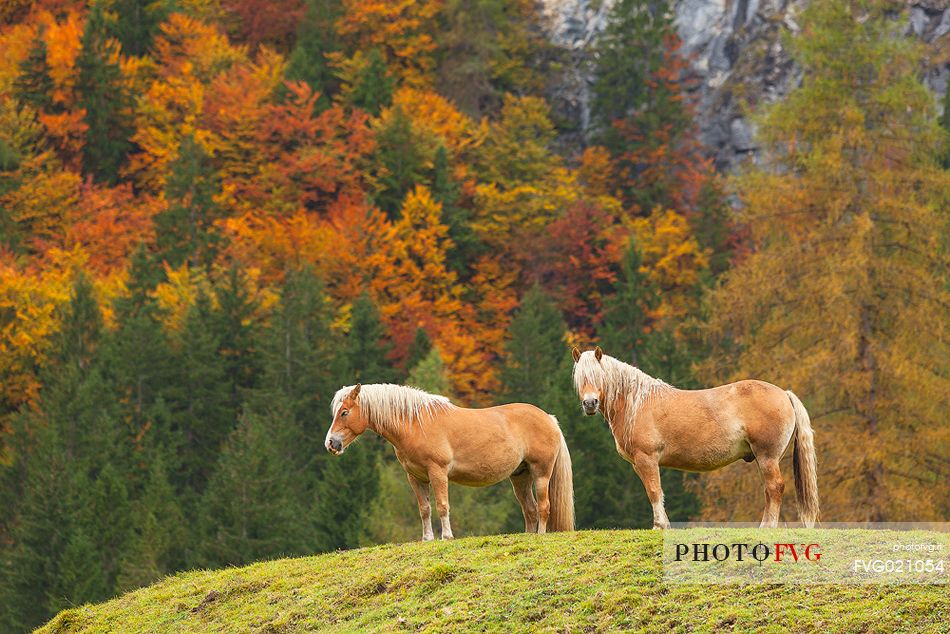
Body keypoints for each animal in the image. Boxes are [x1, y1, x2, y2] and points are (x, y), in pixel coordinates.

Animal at [324, 380, 576, 540]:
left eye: (345, 412)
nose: (331, 444)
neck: (416, 423)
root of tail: (549, 418)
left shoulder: (438, 472)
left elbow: (442, 505)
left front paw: (446, 536)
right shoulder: (415, 477)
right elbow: (424, 509)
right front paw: (427, 538)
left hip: (541, 473)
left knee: (543, 507)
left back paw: (541, 535)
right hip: (520, 476)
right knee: (530, 509)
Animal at [568, 346, 820, 528]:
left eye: (598, 376)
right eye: (580, 378)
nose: (590, 403)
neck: (637, 403)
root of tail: (784, 394)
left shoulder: (647, 459)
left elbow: (654, 491)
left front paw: (659, 526)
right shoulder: (639, 464)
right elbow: (655, 492)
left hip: (767, 457)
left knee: (775, 488)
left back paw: (767, 527)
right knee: (769, 490)